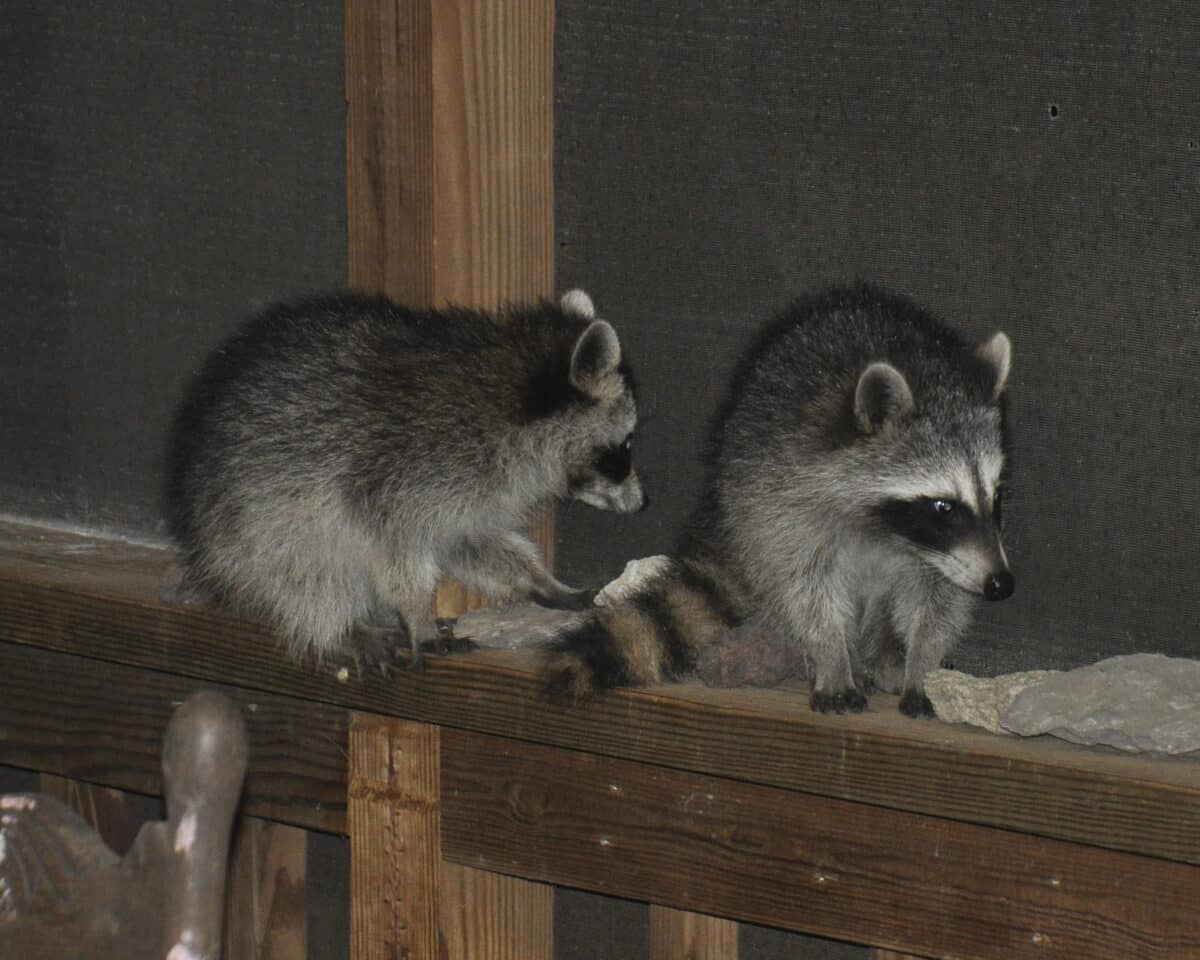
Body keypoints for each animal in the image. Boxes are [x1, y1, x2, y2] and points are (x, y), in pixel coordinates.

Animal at [168, 289, 643, 669]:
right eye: (622, 448)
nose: (641, 503)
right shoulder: (402, 477)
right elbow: (397, 556)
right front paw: (416, 613)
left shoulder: (470, 493)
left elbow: (473, 543)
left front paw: (539, 578)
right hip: (253, 524)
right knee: (308, 572)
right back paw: (337, 625)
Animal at [545, 285, 1013, 717]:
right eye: (943, 507)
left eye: (996, 496)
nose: (1002, 584)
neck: (886, 530)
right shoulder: (787, 497)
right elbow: (806, 587)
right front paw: (831, 655)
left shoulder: (941, 553)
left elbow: (939, 602)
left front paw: (921, 665)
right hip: (745, 495)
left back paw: (884, 653)